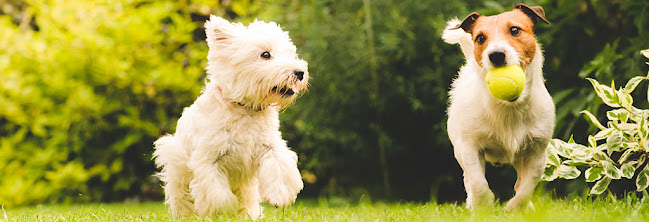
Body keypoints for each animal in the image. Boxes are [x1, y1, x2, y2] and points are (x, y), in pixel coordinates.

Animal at [151, 15, 308, 219]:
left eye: (290, 53)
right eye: (265, 54)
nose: (300, 73)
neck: (245, 109)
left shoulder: (269, 146)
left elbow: (279, 166)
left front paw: (278, 196)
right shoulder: (208, 159)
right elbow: (218, 194)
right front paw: (223, 212)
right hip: (177, 167)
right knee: (182, 197)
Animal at [442, 4, 556, 211]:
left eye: (515, 30)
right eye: (480, 38)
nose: (495, 55)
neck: (509, 107)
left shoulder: (537, 152)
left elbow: (527, 186)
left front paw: (515, 207)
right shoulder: (469, 148)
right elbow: (478, 182)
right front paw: (484, 204)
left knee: (520, 182)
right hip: (460, 149)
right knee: (469, 179)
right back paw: (472, 203)